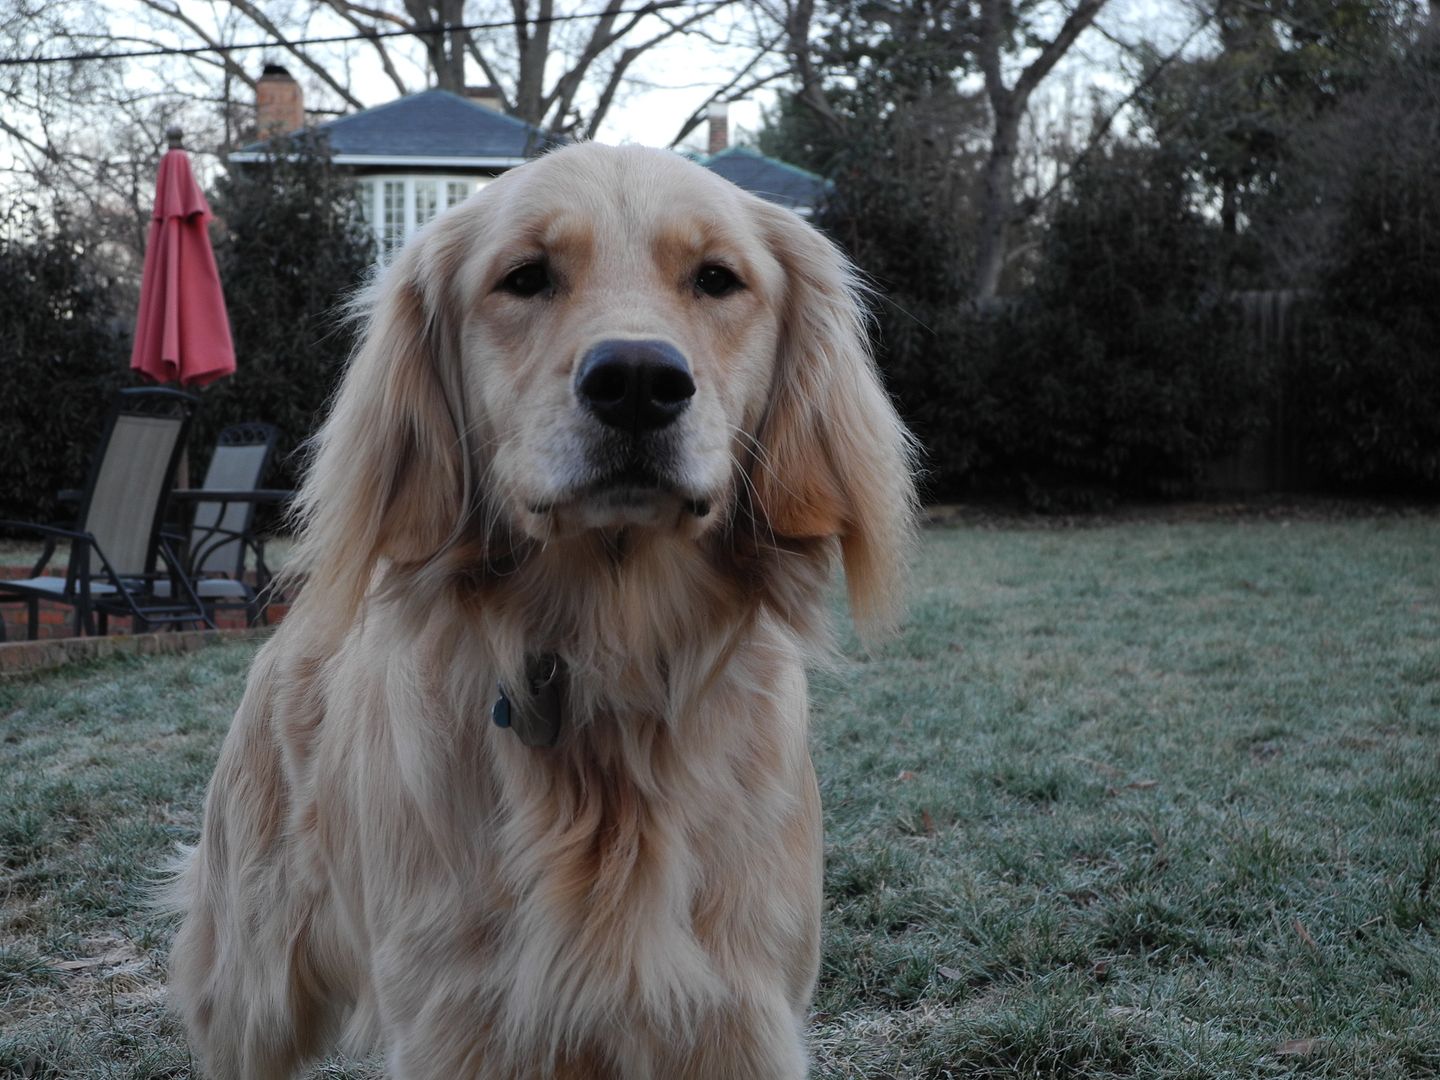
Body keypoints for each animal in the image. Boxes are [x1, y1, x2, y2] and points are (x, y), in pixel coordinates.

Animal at [165, 146, 910, 1080]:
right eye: (525, 277)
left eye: (717, 278)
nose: (638, 382)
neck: (610, 672)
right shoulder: (459, 1020)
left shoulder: (738, 1013)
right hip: (252, 981)